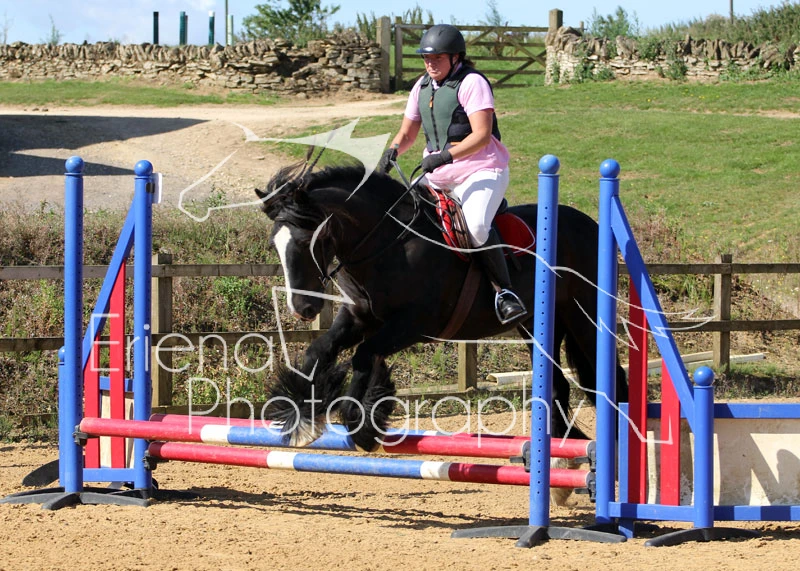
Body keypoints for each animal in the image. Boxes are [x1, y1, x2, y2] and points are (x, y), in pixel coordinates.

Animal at [254, 160, 628, 452]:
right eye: (275, 244)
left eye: (307, 240)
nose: (302, 307)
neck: (385, 243)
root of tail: (591, 223)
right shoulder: (359, 317)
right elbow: (319, 350)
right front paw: (299, 414)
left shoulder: (414, 324)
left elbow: (363, 355)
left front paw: (361, 423)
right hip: (535, 324)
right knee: (558, 384)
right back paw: (565, 444)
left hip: (584, 316)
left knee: (611, 377)